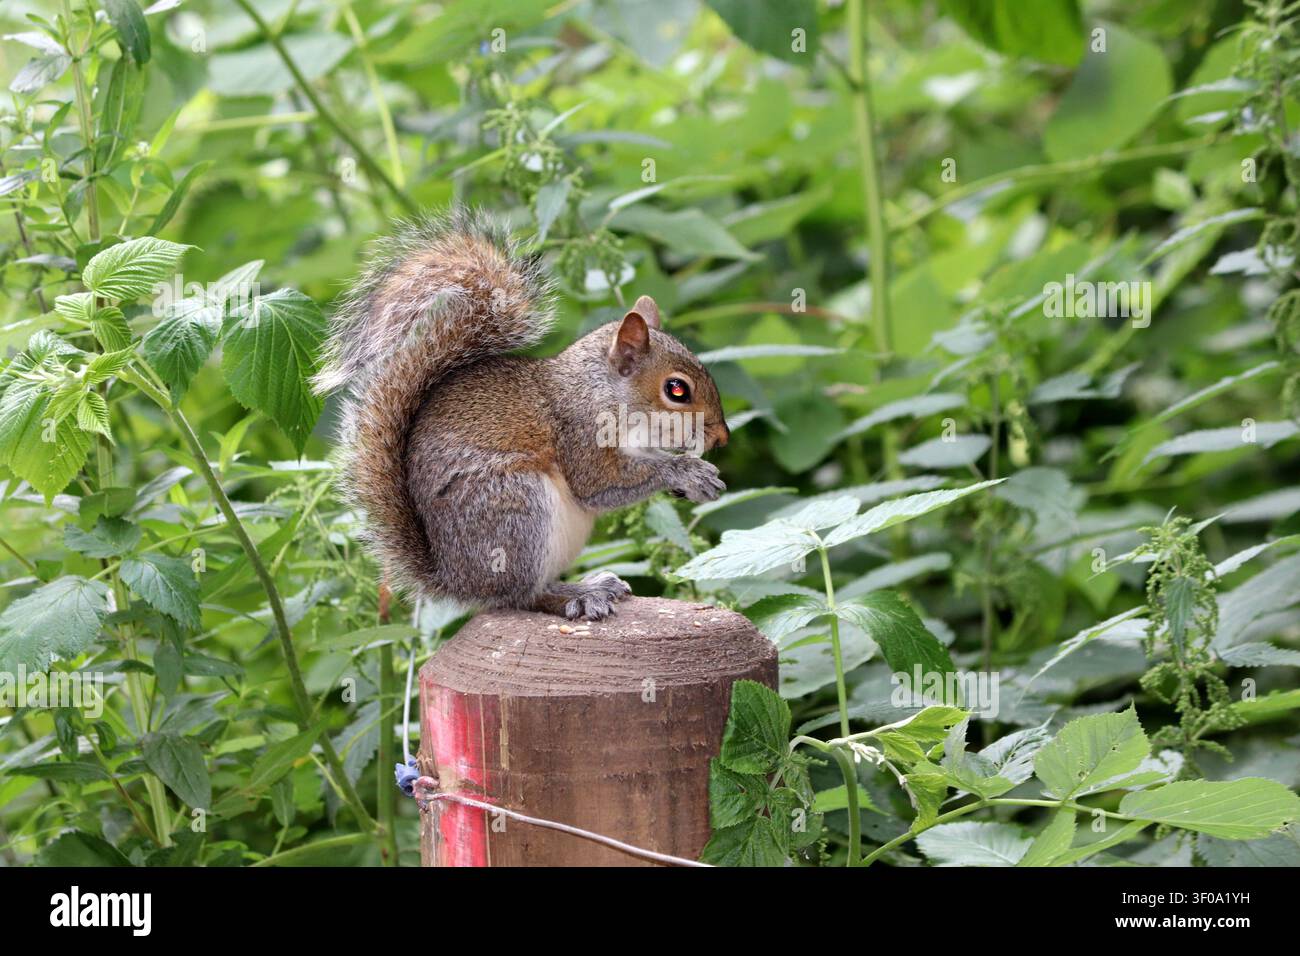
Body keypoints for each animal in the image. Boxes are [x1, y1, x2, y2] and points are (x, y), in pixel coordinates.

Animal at [313, 209, 729, 620]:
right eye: (677, 390)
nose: (722, 437)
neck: (602, 392)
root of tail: (457, 579)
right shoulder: (580, 434)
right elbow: (600, 484)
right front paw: (687, 472)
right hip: (516, 510)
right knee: (522, 597)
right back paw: (580, 595)